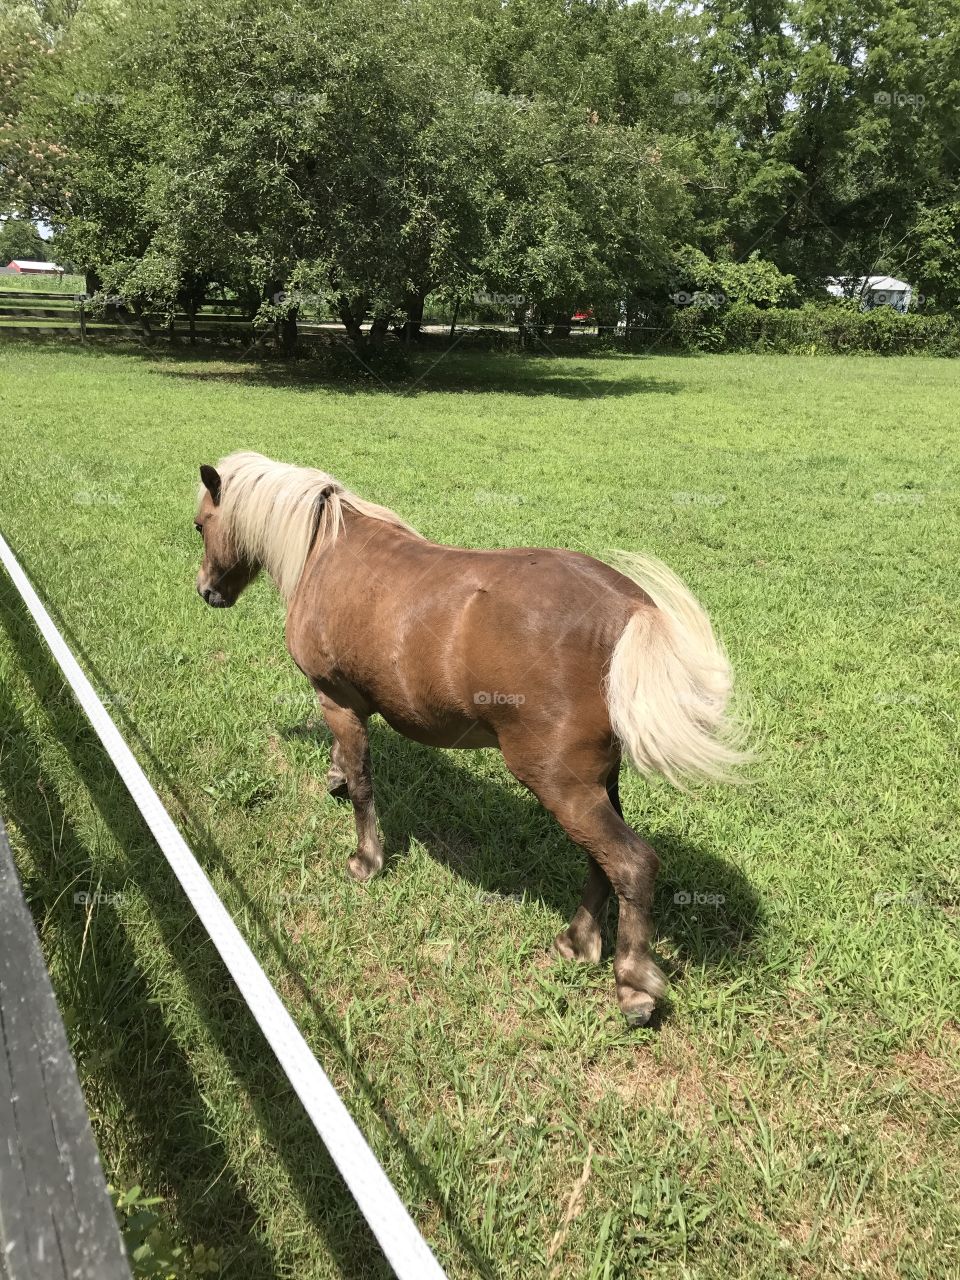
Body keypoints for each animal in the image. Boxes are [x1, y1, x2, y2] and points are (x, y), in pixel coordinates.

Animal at [194, 452, 747, 1025]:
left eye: (200, 525)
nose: (207, 591)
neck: (324, 550)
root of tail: (627, 612)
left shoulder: (337, 700)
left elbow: (365, 784)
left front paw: (366, 859)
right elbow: (349, 766)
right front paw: (335, 777)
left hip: (559, 783)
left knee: (633, 864)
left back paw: (633, 984)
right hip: (595, 783)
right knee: (602, 860)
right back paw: (576, 940)